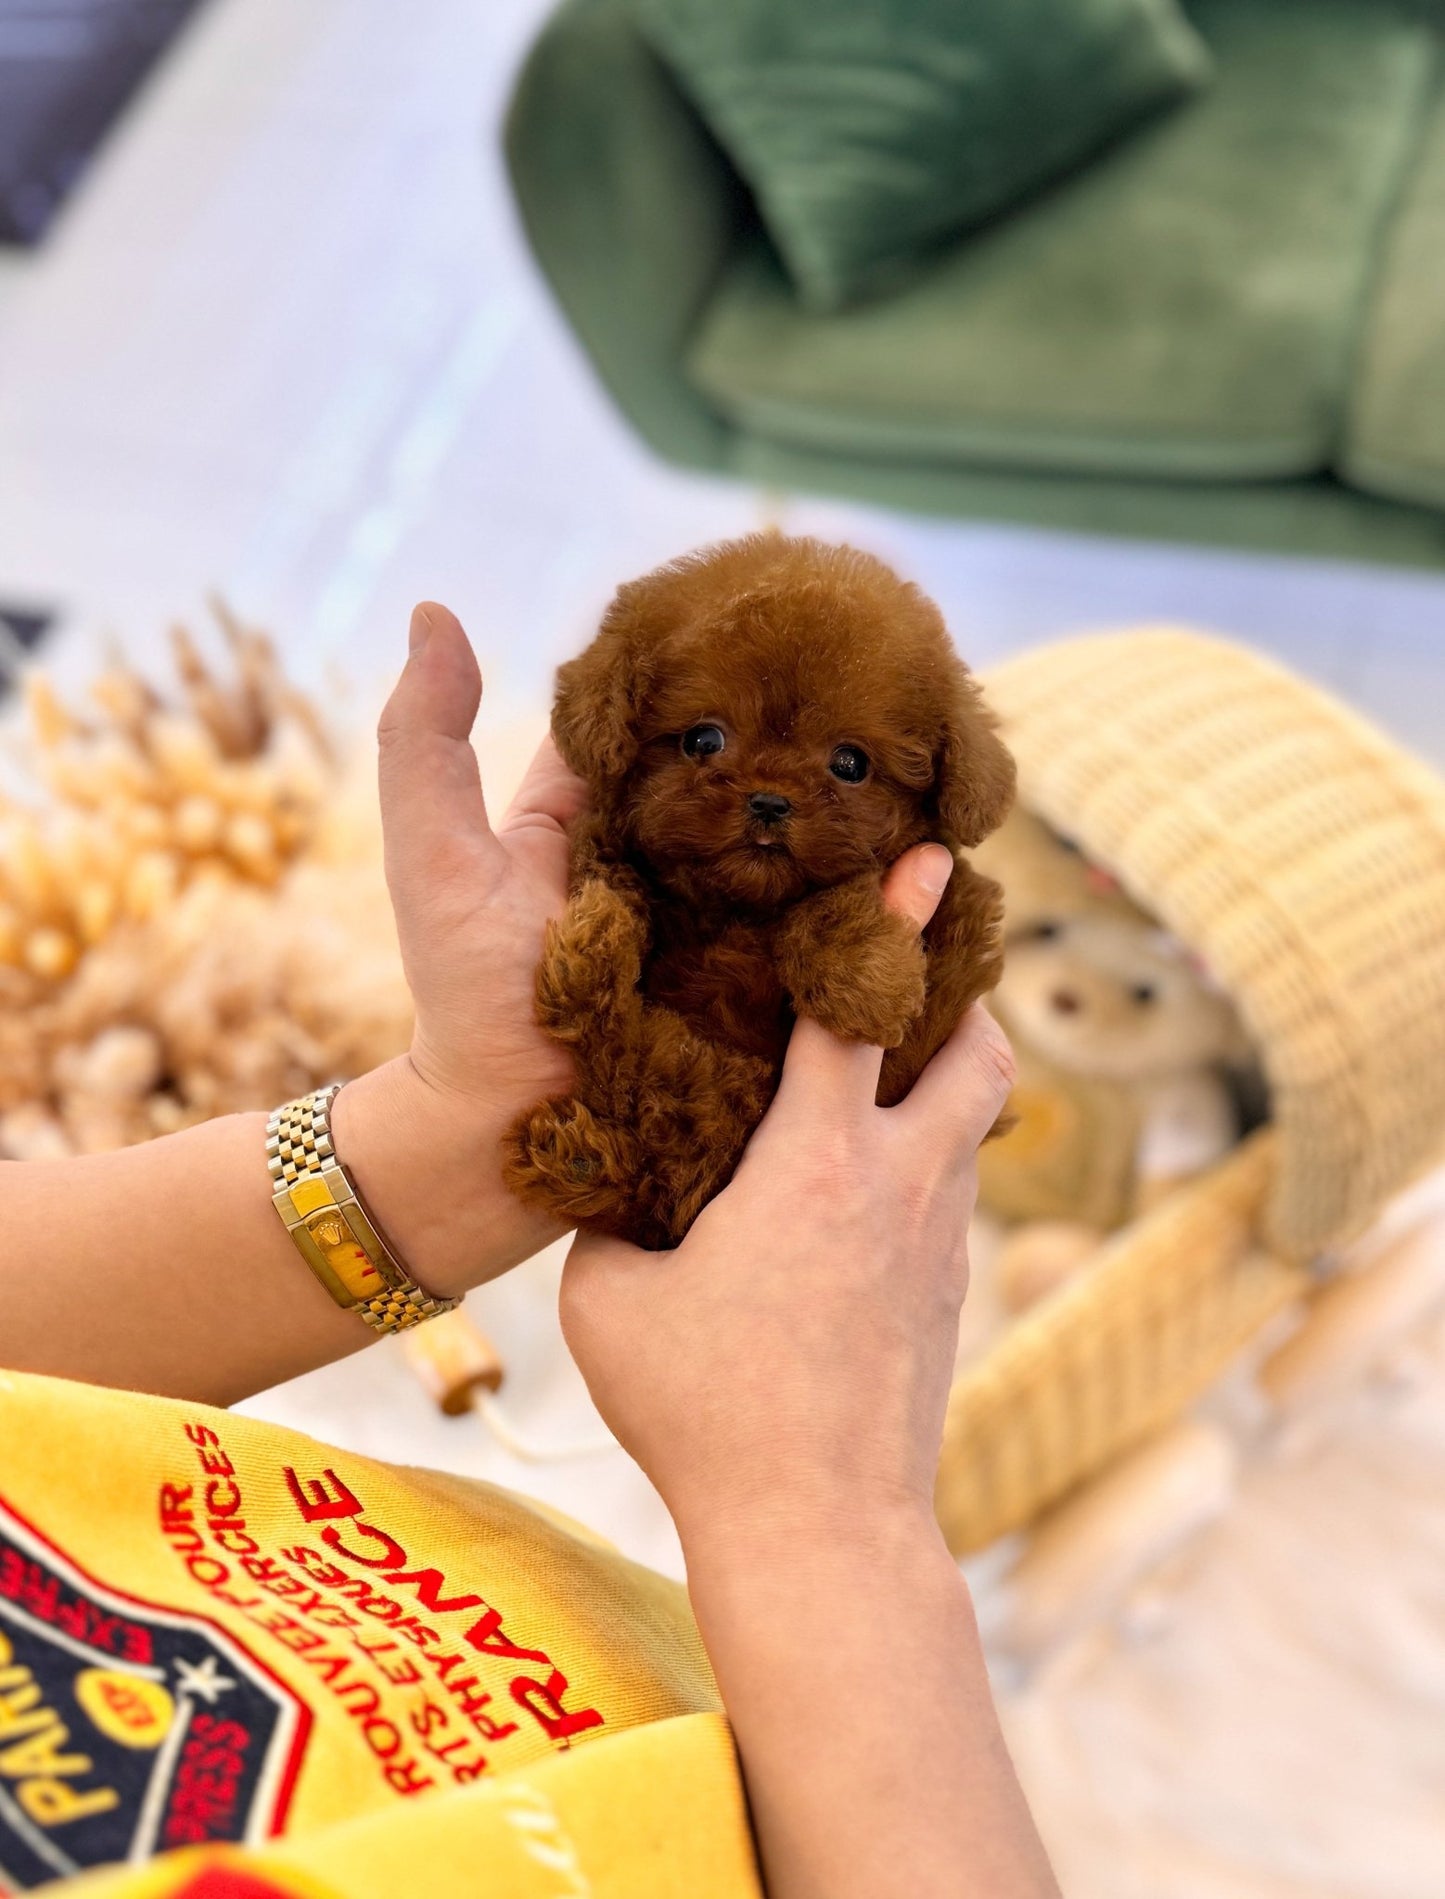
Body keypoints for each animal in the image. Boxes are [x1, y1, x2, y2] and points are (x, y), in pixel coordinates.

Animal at [501, 535, 1010, 1245]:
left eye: (850, 763)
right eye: (702, 739)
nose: (769, 802)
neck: (743, 912)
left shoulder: (950, 902)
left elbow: (844, 892)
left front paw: (867, 985)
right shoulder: (603, 835)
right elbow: (608, 866)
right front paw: (614, 914)